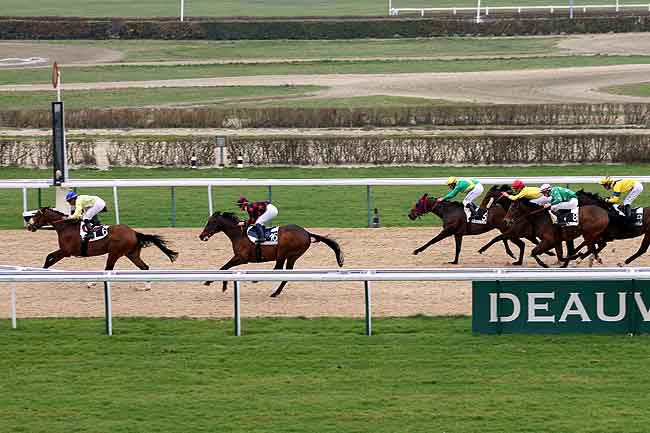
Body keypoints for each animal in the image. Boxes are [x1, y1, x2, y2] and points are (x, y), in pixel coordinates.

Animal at [25, 206, 178, 270]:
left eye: (36, 215)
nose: (29, 226)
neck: (66, 227)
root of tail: (134, 232)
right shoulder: (64, 251)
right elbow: (48, 257)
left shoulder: (66, 252)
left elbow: (50, 258)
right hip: (131, 254)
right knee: (144, 267)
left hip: (115, 253)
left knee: (108, 269)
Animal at [199, 210, 344, 296]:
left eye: (210, 222)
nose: (201, 236)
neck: (239, 234)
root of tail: (307, 233)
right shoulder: (239, 258)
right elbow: (225, 267)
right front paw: (222, 284)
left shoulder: (241, 258)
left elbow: (224, 267)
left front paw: (210, 281)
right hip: (292, 256)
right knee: (286, 273)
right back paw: (275, 292)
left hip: (283, 252)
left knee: (278, 268)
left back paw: (259, 280)